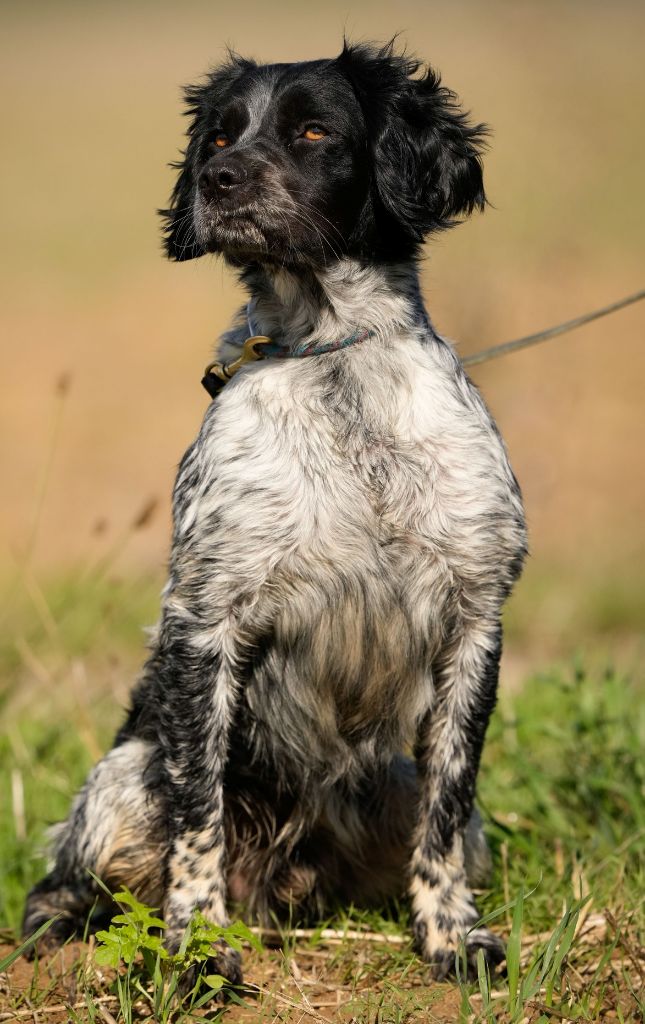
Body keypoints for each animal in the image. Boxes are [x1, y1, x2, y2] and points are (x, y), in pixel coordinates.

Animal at [26, 41, 532, 983]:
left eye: (312, 131)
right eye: (221, 135)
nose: (215, 180)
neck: (337, 365)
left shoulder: (475, 620)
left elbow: (445, 813)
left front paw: (450, 937)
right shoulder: (204, 619)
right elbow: (198, 814)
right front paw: (195, 949)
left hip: (390, 780)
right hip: (119, 782)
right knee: (70, 880)